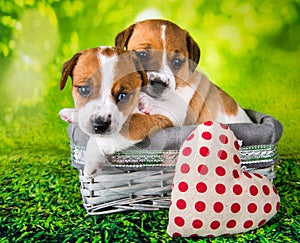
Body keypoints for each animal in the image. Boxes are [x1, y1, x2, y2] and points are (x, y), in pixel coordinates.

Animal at [59, 47, 172, 177]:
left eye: (123, 96)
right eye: (84, 89)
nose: (100, 125)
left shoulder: (160, 116)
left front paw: (92, 159)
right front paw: (71, 113)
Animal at [115, 19, 253, 125]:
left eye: (177, 62)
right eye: (142, 55)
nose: (159, 84)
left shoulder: (182, 112)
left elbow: (169, 106)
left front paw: (147, 101)